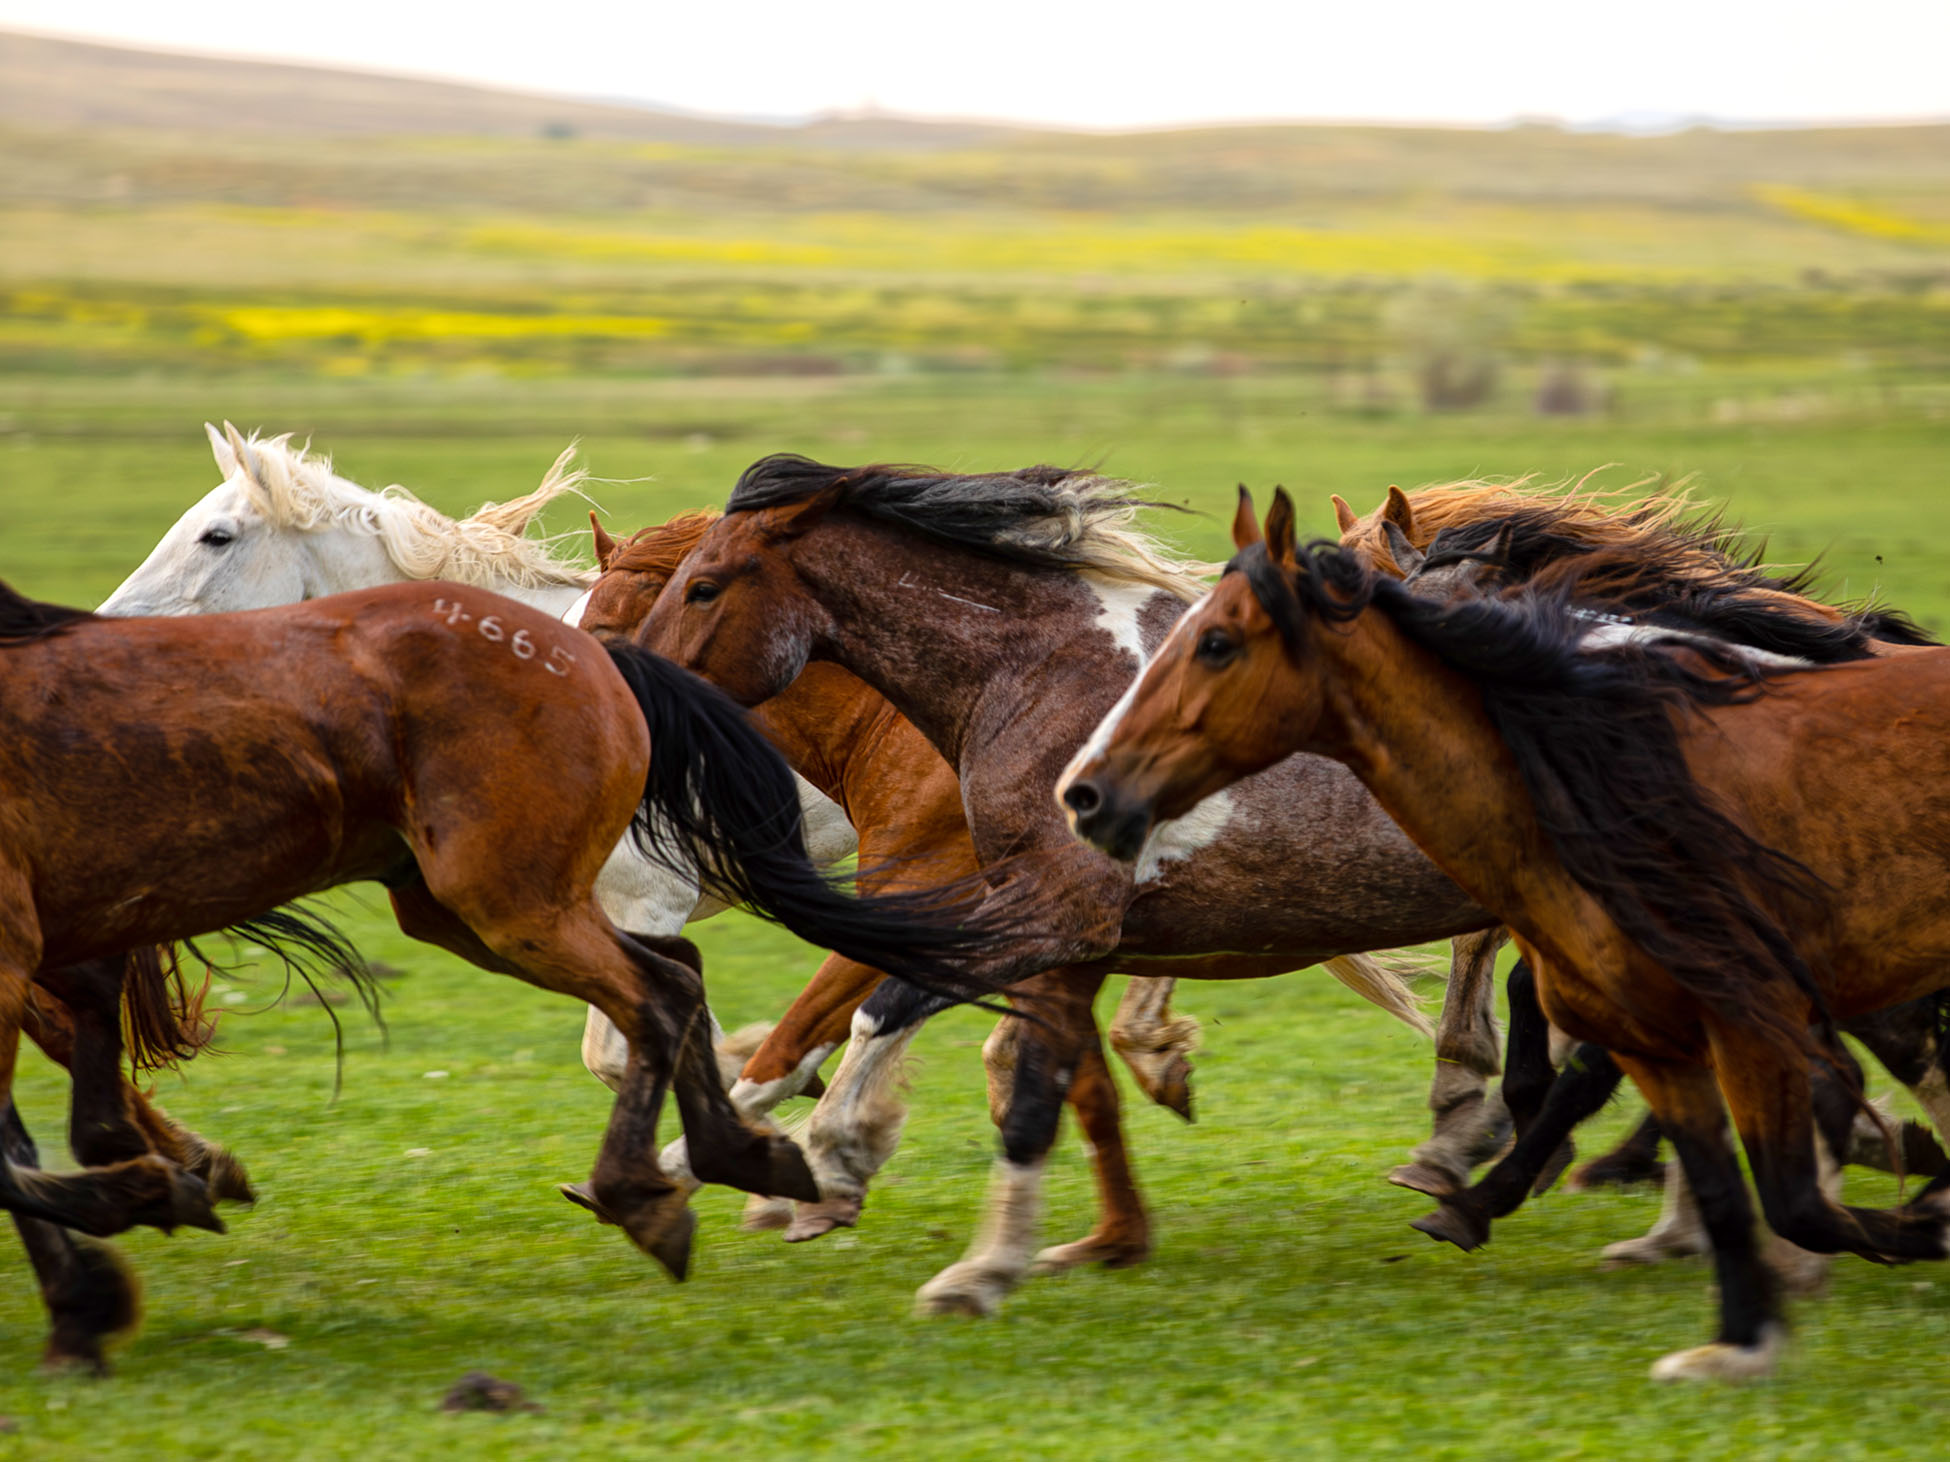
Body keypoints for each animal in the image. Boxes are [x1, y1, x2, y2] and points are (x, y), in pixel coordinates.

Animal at [0, 572, 1035, 1365]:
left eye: (218, 534)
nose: (121, 607)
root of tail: (594, 663)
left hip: (511, 903)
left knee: (683, 994)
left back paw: (686, 1188)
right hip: (470, 909)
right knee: (688, 981)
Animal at [633, 452, 1525, 1319]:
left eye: (705, 586)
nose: (638, 707)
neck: (1045, 680)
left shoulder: (1051, 913)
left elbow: (878, 1013)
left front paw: (829, 1156)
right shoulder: (1065, 938)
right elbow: (1031, 1091)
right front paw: (983, 1264)